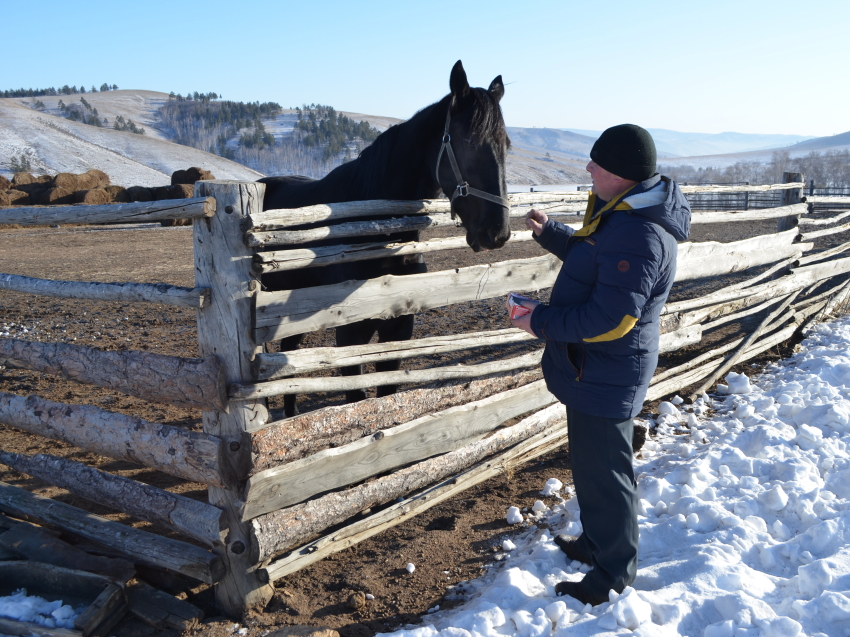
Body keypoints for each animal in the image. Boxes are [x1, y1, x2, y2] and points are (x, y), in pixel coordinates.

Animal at [258, 60, 510, 418]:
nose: (497, 232)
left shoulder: (398, 330)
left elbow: (387, 393)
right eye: (468, 142)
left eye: (506, 145)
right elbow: (356, 399)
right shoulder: (350, 335)